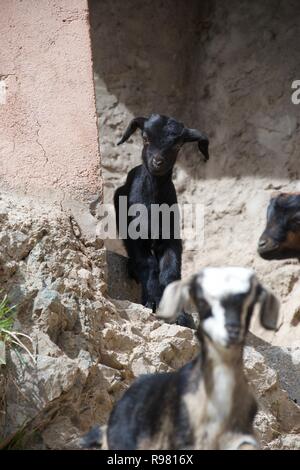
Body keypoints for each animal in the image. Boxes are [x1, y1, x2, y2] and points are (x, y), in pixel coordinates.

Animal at [113, 114, 210, 326]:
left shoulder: (170, 237)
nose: (158, 161)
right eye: (145, 138)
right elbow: (148, 264)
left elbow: (170, 271)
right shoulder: (135, 235)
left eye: (178, 145)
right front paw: (151, 301)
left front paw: (180, 315)